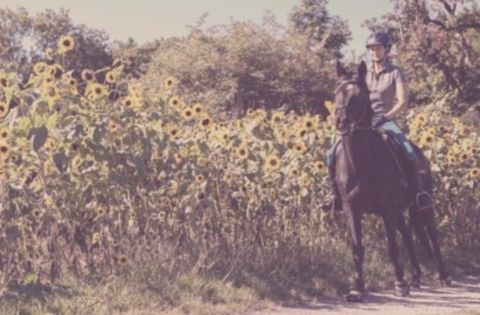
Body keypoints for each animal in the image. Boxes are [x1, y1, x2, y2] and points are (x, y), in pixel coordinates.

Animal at [330, 60, 450, 302]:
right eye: (336, 92)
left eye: (360, 95)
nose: (341, 122)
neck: (362, 162)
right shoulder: (351, 208)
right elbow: (357, 248)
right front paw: (357, 288)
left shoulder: (386, 209)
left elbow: (393, 247)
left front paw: (399, 284)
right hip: (400, 210)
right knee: (408, 236)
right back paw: (416, 277)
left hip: (423, 207)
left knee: (431, 235)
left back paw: (442, 276)